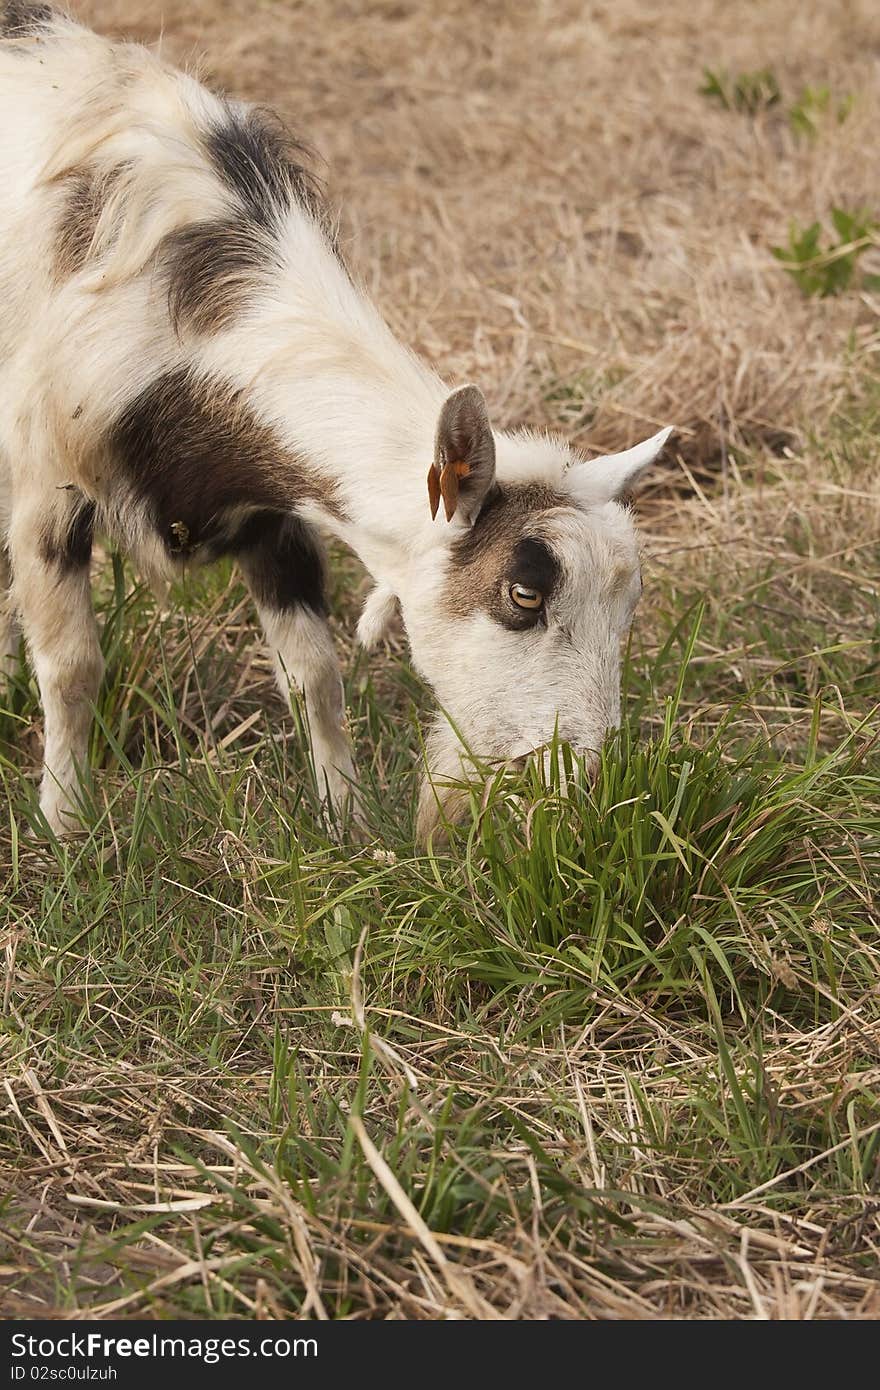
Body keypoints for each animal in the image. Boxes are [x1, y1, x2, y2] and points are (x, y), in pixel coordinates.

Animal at [1, 2, 672, 834]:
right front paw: (65, 825)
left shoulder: (270, 510)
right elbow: (72, 667)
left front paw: (343, 818)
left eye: (629, 603)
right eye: (524, 594)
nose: (588, 780)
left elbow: (313, 673)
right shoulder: (48, 483)